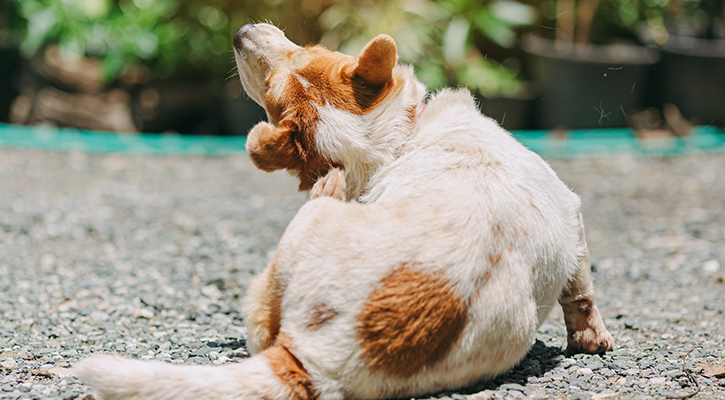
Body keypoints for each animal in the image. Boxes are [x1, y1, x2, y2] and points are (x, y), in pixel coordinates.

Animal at [73, 22, 612, 400]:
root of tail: (318, 358)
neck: (392, 146)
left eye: (308, 50)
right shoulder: (573, 212)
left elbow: (581, 291)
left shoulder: (571, 213)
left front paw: (590, 339)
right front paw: (591, 338)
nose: (239, 31)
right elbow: (581, 289)